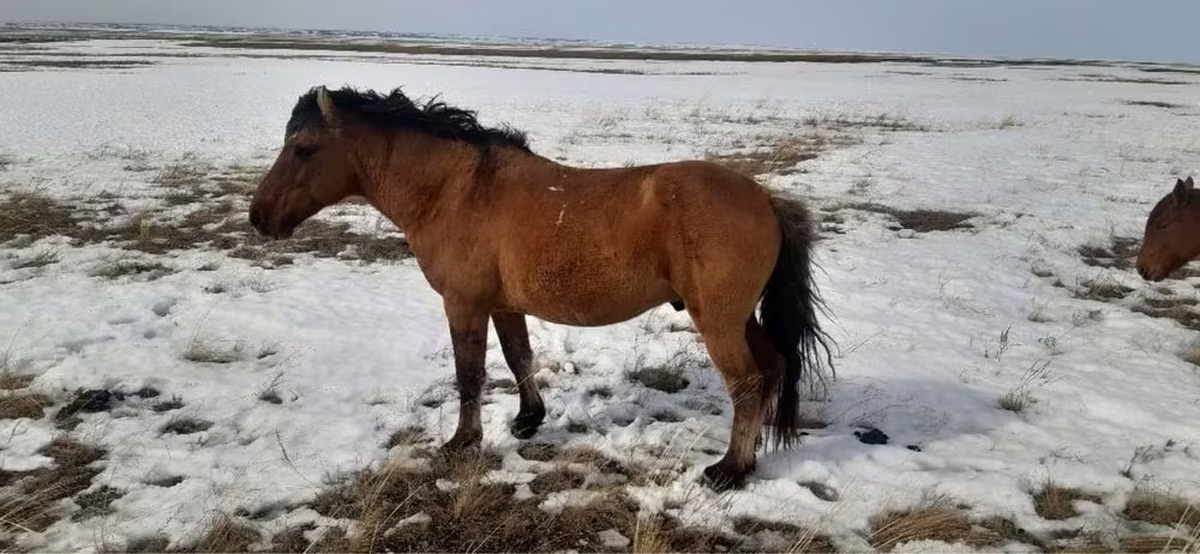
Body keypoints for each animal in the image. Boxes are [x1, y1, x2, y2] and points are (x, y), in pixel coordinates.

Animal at [248, 85, 833, 490]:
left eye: (303, 149)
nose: (259, 218)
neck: (457, 191)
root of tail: (765, 199)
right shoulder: (504, 305)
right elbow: (519, 359)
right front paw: (529, 421)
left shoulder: (464, 304)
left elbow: (470, 375)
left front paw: (462, 443)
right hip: (740, 319)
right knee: (773, 369)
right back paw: (751, 458)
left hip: (718, 321)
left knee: (748, 384)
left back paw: (729, 470)